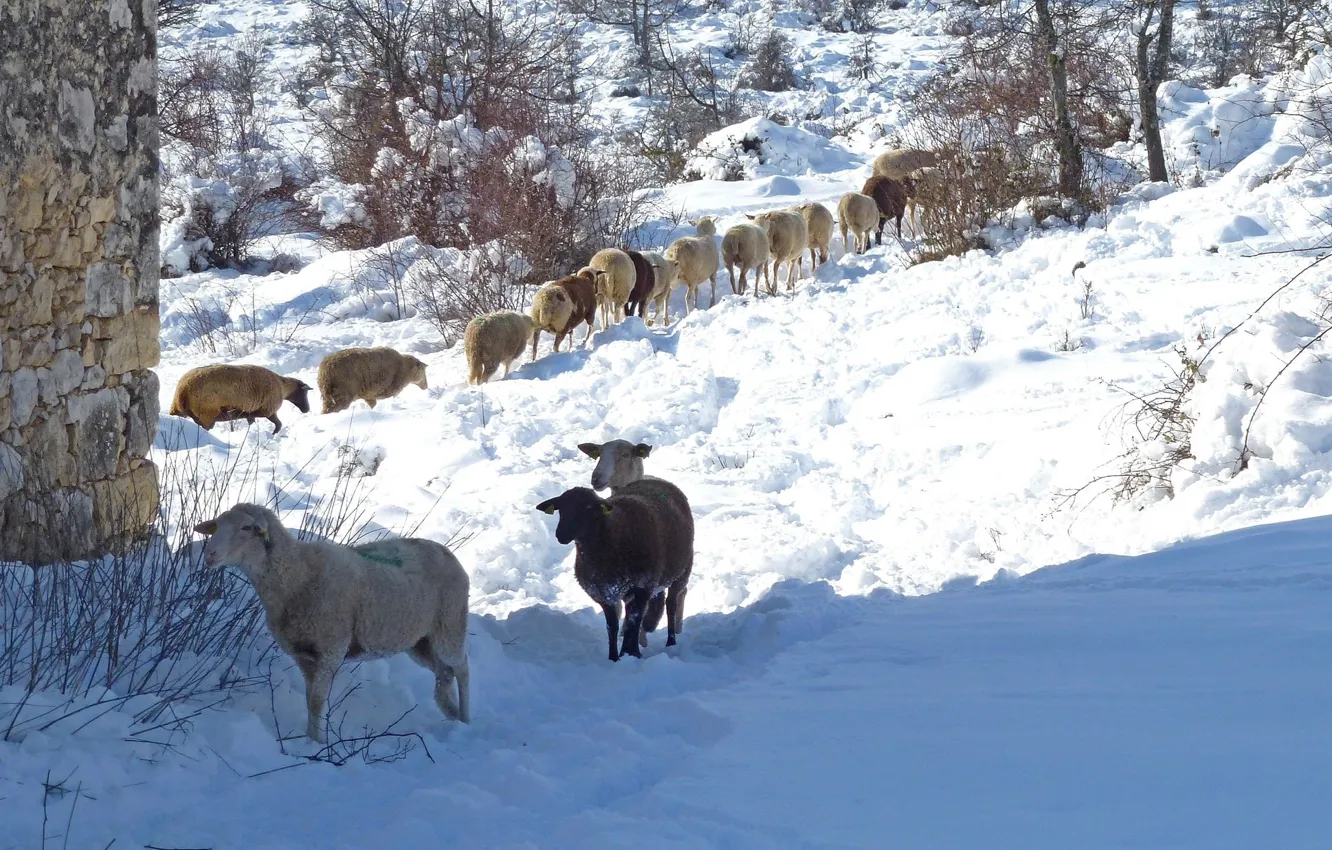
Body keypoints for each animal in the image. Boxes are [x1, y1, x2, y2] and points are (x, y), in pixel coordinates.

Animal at [166, 365, 309, 436]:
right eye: (305, 392)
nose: (307, 409)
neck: (283, 386)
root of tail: (181, 392)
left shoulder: (254, 411)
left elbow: (251, 420)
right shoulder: (267, 410)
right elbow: (278, 424)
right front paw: (274, 434)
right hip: (207, 413)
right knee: (205, 428)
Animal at [194, 503, 471, 740]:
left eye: (246, 528)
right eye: (217, 525)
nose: (210, 554)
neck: (296, 575)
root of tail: (446, 551)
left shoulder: (331, 650)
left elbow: (317, 702)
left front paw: (317, 744)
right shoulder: (304, 656)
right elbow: (310, 701)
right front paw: (310, 739)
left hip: (450, 625)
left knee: (461, 668)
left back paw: (465, 719)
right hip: (419, 641)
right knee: (443, 672)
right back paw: (450, 713)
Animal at [532, 479, 692, 666]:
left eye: (588, 508)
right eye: (560, 508)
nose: (561, 534)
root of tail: (658, 480)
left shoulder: (642, 587)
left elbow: (633, 622)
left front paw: (632, 654)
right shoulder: (604, 593)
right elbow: (613, 626)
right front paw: (615, 657)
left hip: (681, 573)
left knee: (670, 606)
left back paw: (670, 642)